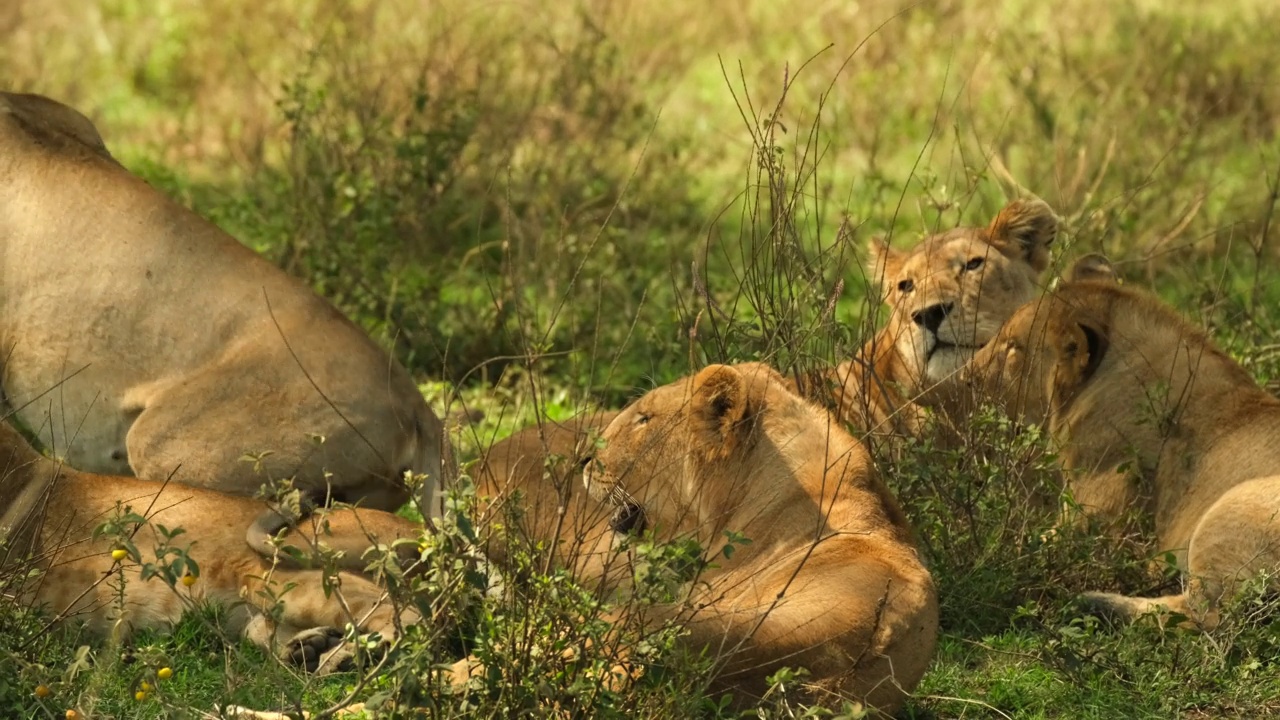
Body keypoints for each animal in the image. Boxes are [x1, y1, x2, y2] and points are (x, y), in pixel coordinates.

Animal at [0, 412, 424, 671]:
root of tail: (424, 532)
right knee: (265, 631)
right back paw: (310, 650)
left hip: (281, 575)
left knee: (406, 616)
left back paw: (345, 657)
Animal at [921, 254, 1280, 625]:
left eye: (1013, 348)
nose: (962, 378)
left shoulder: (1088, 526)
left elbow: (1012, 551)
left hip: (1224, 514)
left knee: (1202, 616)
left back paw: (1095, 601)